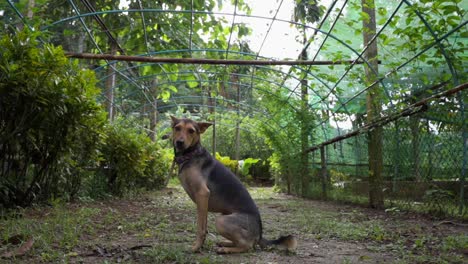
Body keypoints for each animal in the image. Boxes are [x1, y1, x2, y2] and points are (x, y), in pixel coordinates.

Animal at [171, 116, 296, 254]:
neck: (190, 155)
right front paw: (201, 245)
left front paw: (196, 247)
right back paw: (224, 243)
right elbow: (204, 225)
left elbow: (200, 228)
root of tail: (259, 234)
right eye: (177, 128)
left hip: (221, 221)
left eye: (191, 131)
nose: (179, 142)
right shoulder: (203, 202)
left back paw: (225, 249)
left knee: (248, 245)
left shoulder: (202, 194)